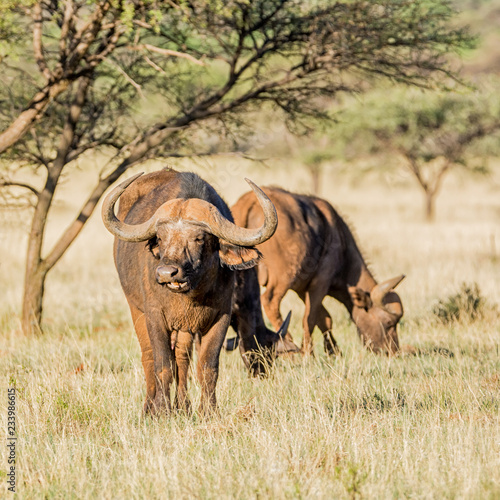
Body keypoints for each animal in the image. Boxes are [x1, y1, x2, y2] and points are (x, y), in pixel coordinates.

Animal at [100, 170, 286, 416]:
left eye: (199, 238)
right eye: (161, 238)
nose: (166, 273)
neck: (191, 295)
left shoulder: (220, 317)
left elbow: (207, 366)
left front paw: (208, 411)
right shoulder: (155, 317)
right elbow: (162, 364)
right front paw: (161, 411)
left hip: (185, 327)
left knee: (182, 358)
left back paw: (183, 407)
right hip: (136, 309)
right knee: (149, 355)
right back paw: (149, 407)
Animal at [229, 187, 408, 356]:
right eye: (389, 323)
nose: (393, 351)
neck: (339, 240)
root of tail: (250, 201)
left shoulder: (303, 289)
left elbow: (324, 318)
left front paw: (333, 351)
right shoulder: (320, 283)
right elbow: (310, 319)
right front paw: (308, 354)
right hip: (283, 279)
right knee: (270, 302)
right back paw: (289, 350)